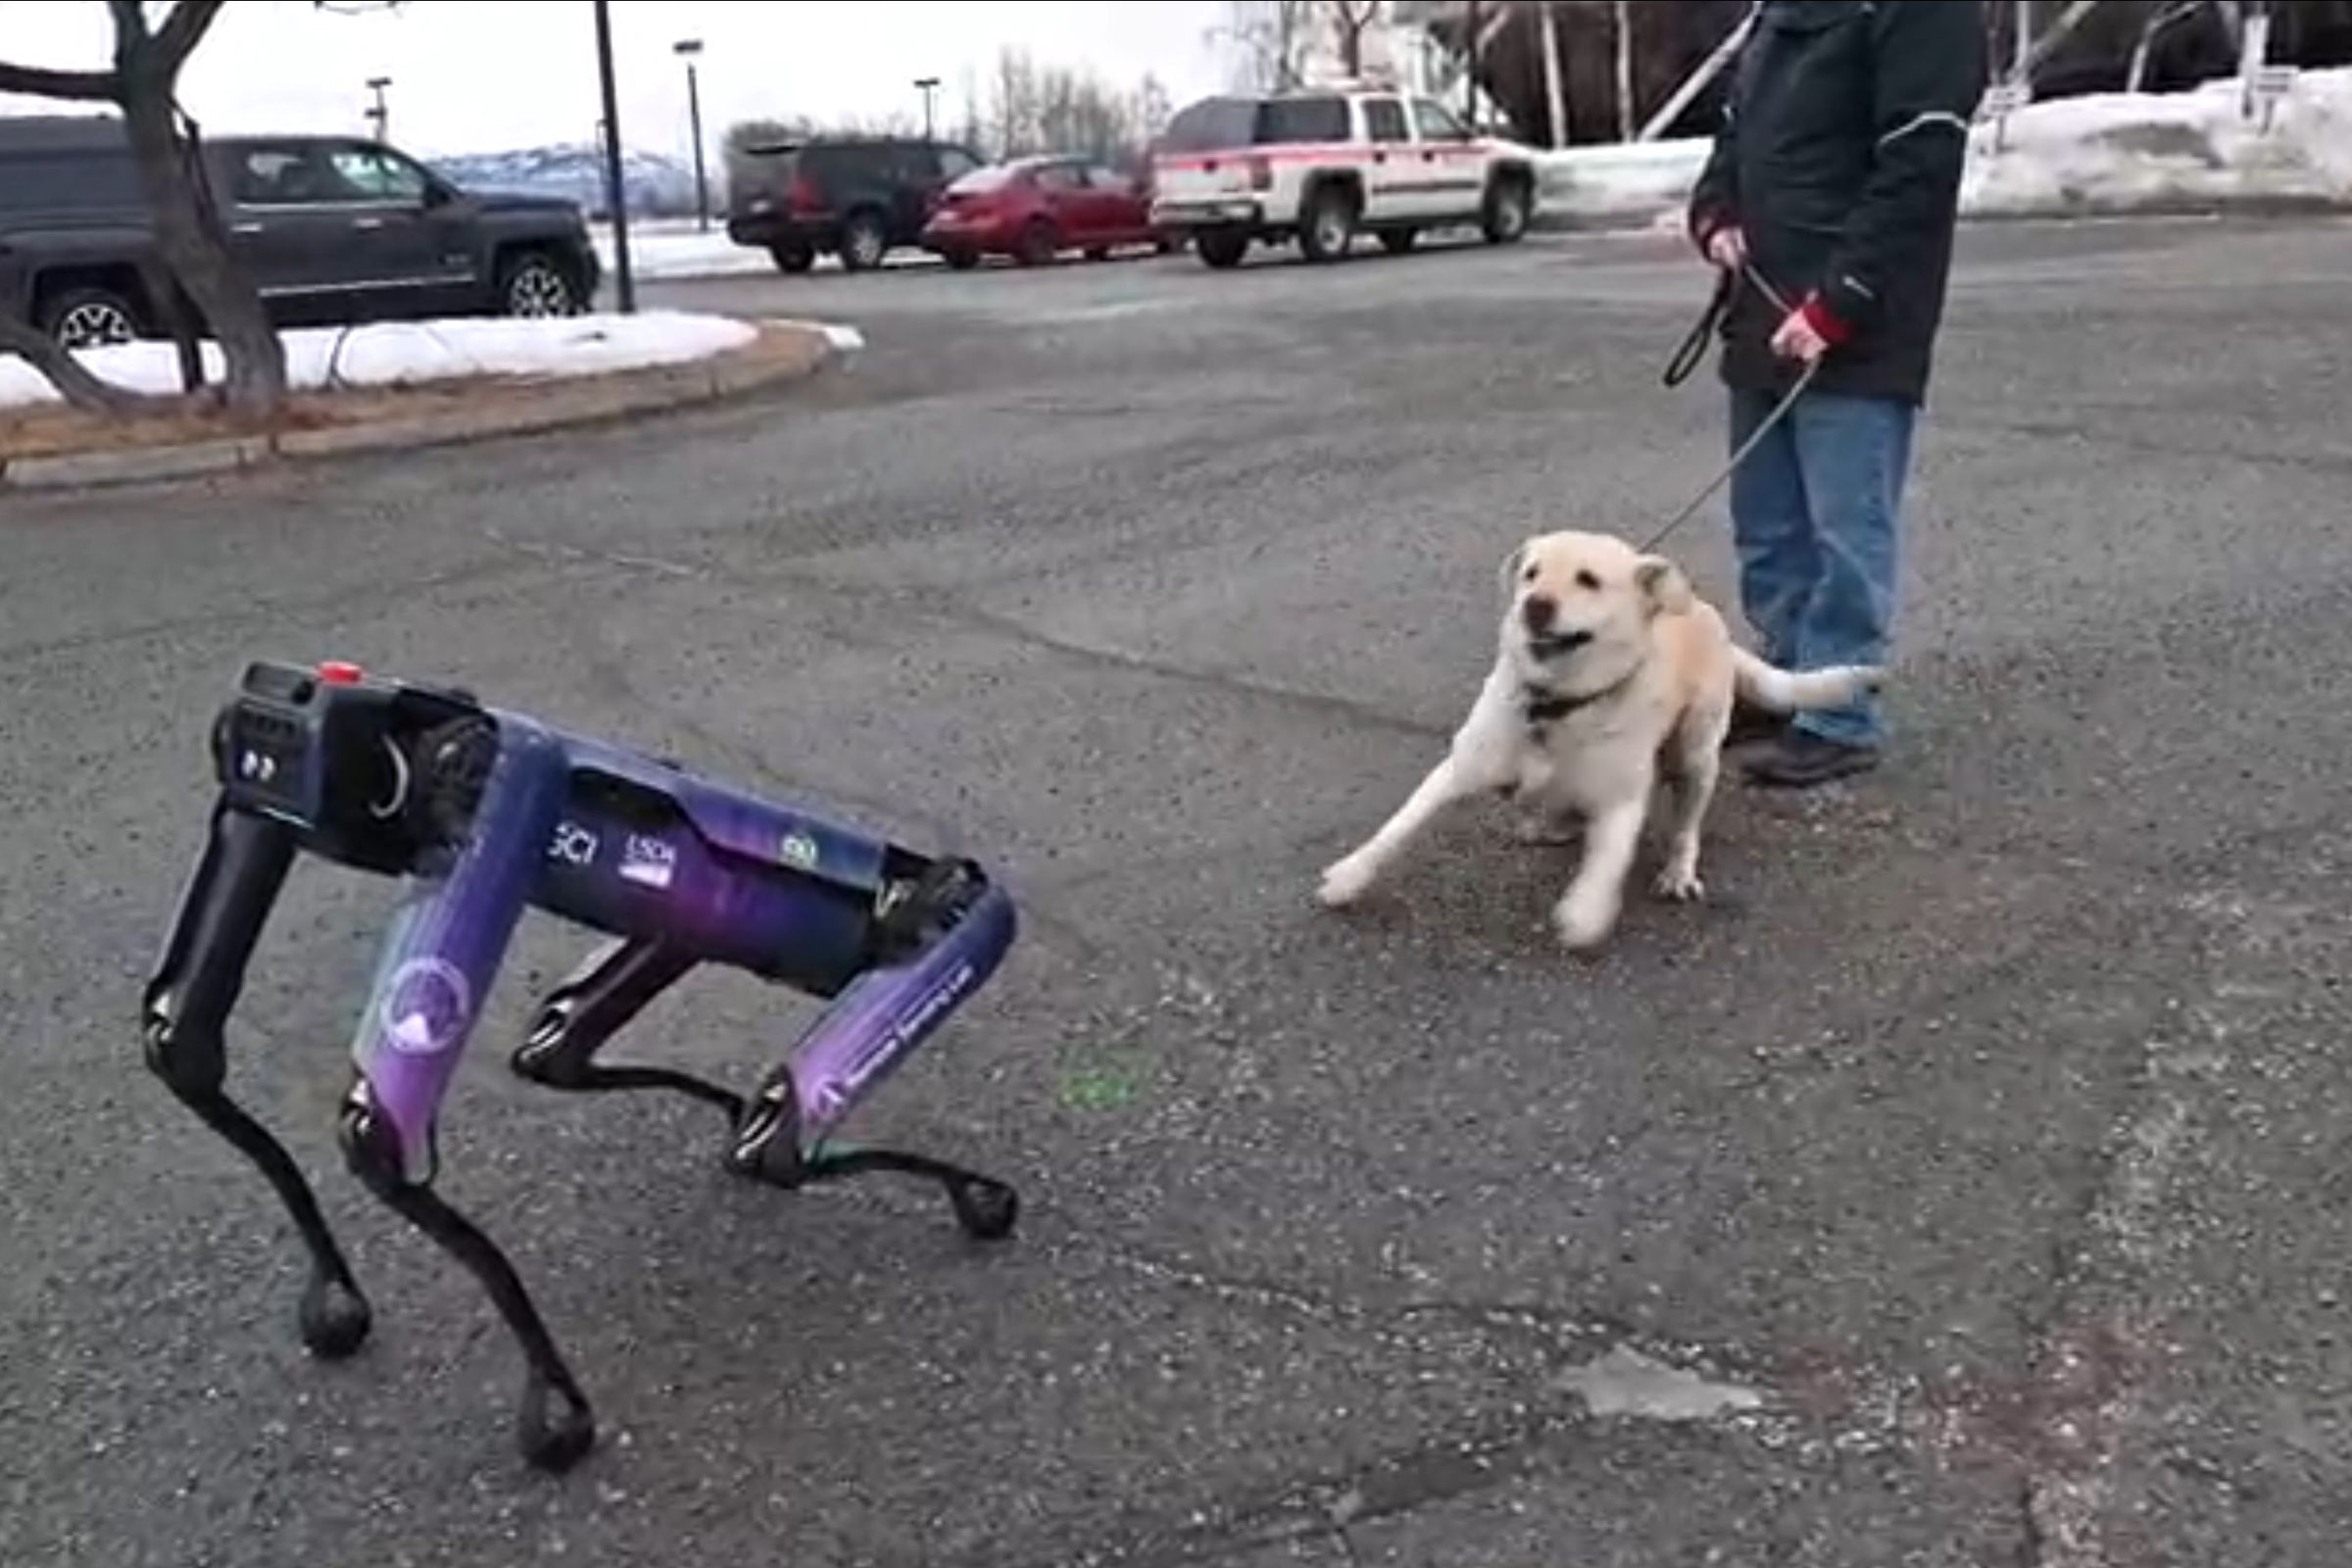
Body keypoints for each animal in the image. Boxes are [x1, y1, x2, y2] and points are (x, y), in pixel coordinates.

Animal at [142, 662, 1025, 1476]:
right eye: (249, 747)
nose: (261, 739)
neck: (413, 750)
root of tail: (950, 884)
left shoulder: (508, 782)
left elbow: (377, 1136)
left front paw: (557, 1408)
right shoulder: (273, 815)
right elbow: (181, 1044)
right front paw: (341, 1303)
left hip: (936, 939)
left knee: (785, 1140)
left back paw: (944, 1178)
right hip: (689, 925)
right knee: (564, 1048)